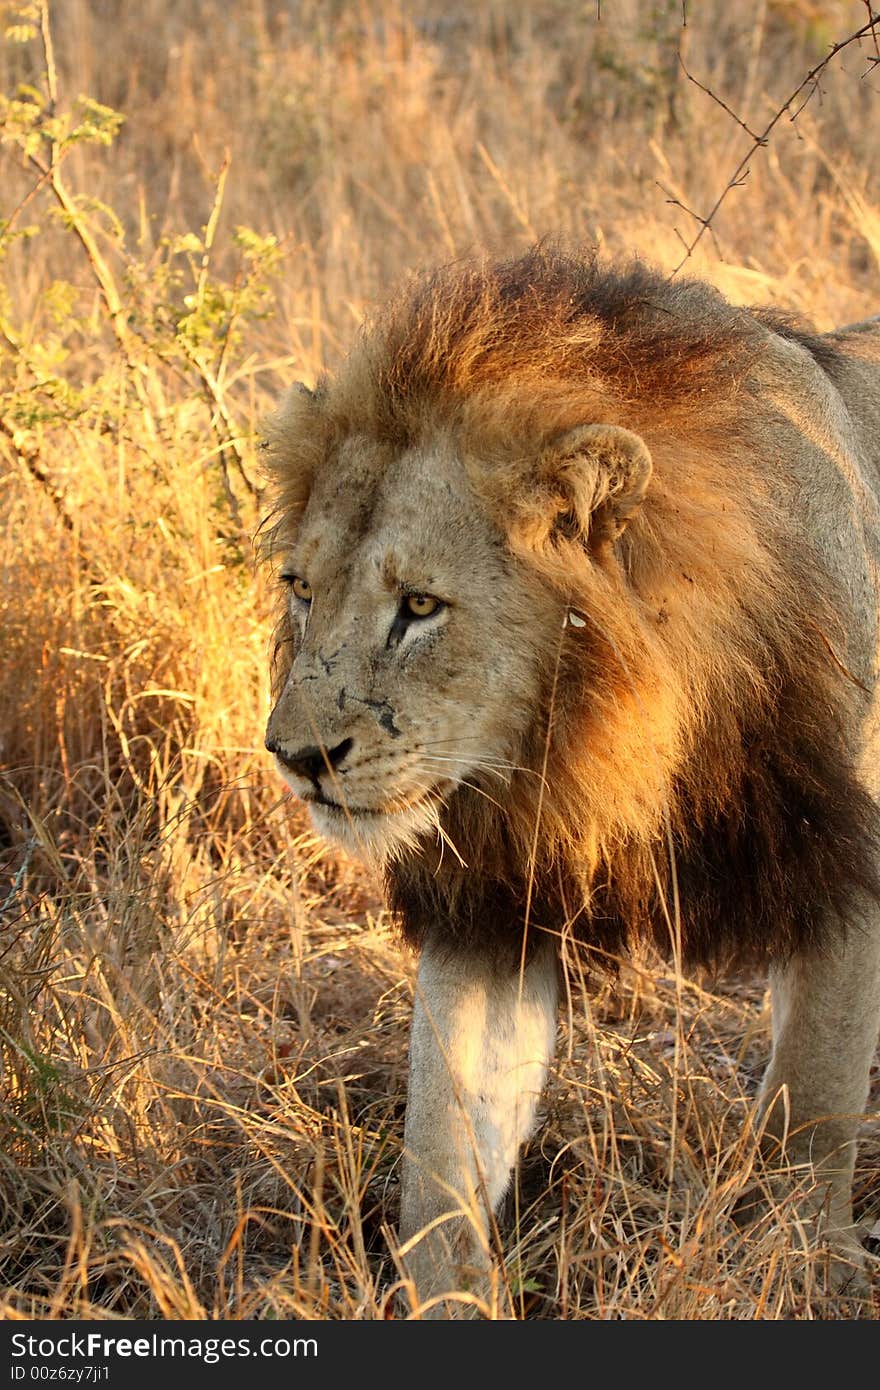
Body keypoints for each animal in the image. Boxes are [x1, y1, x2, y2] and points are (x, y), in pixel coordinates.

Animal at [261, 244, 878, 1317]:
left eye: (420, 606)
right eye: (302, 591)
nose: (296, 759)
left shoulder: (844, 863)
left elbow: (816, 1099)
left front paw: (806, 1268)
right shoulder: (495, 901)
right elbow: (441, 1139)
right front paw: (447, 1297)